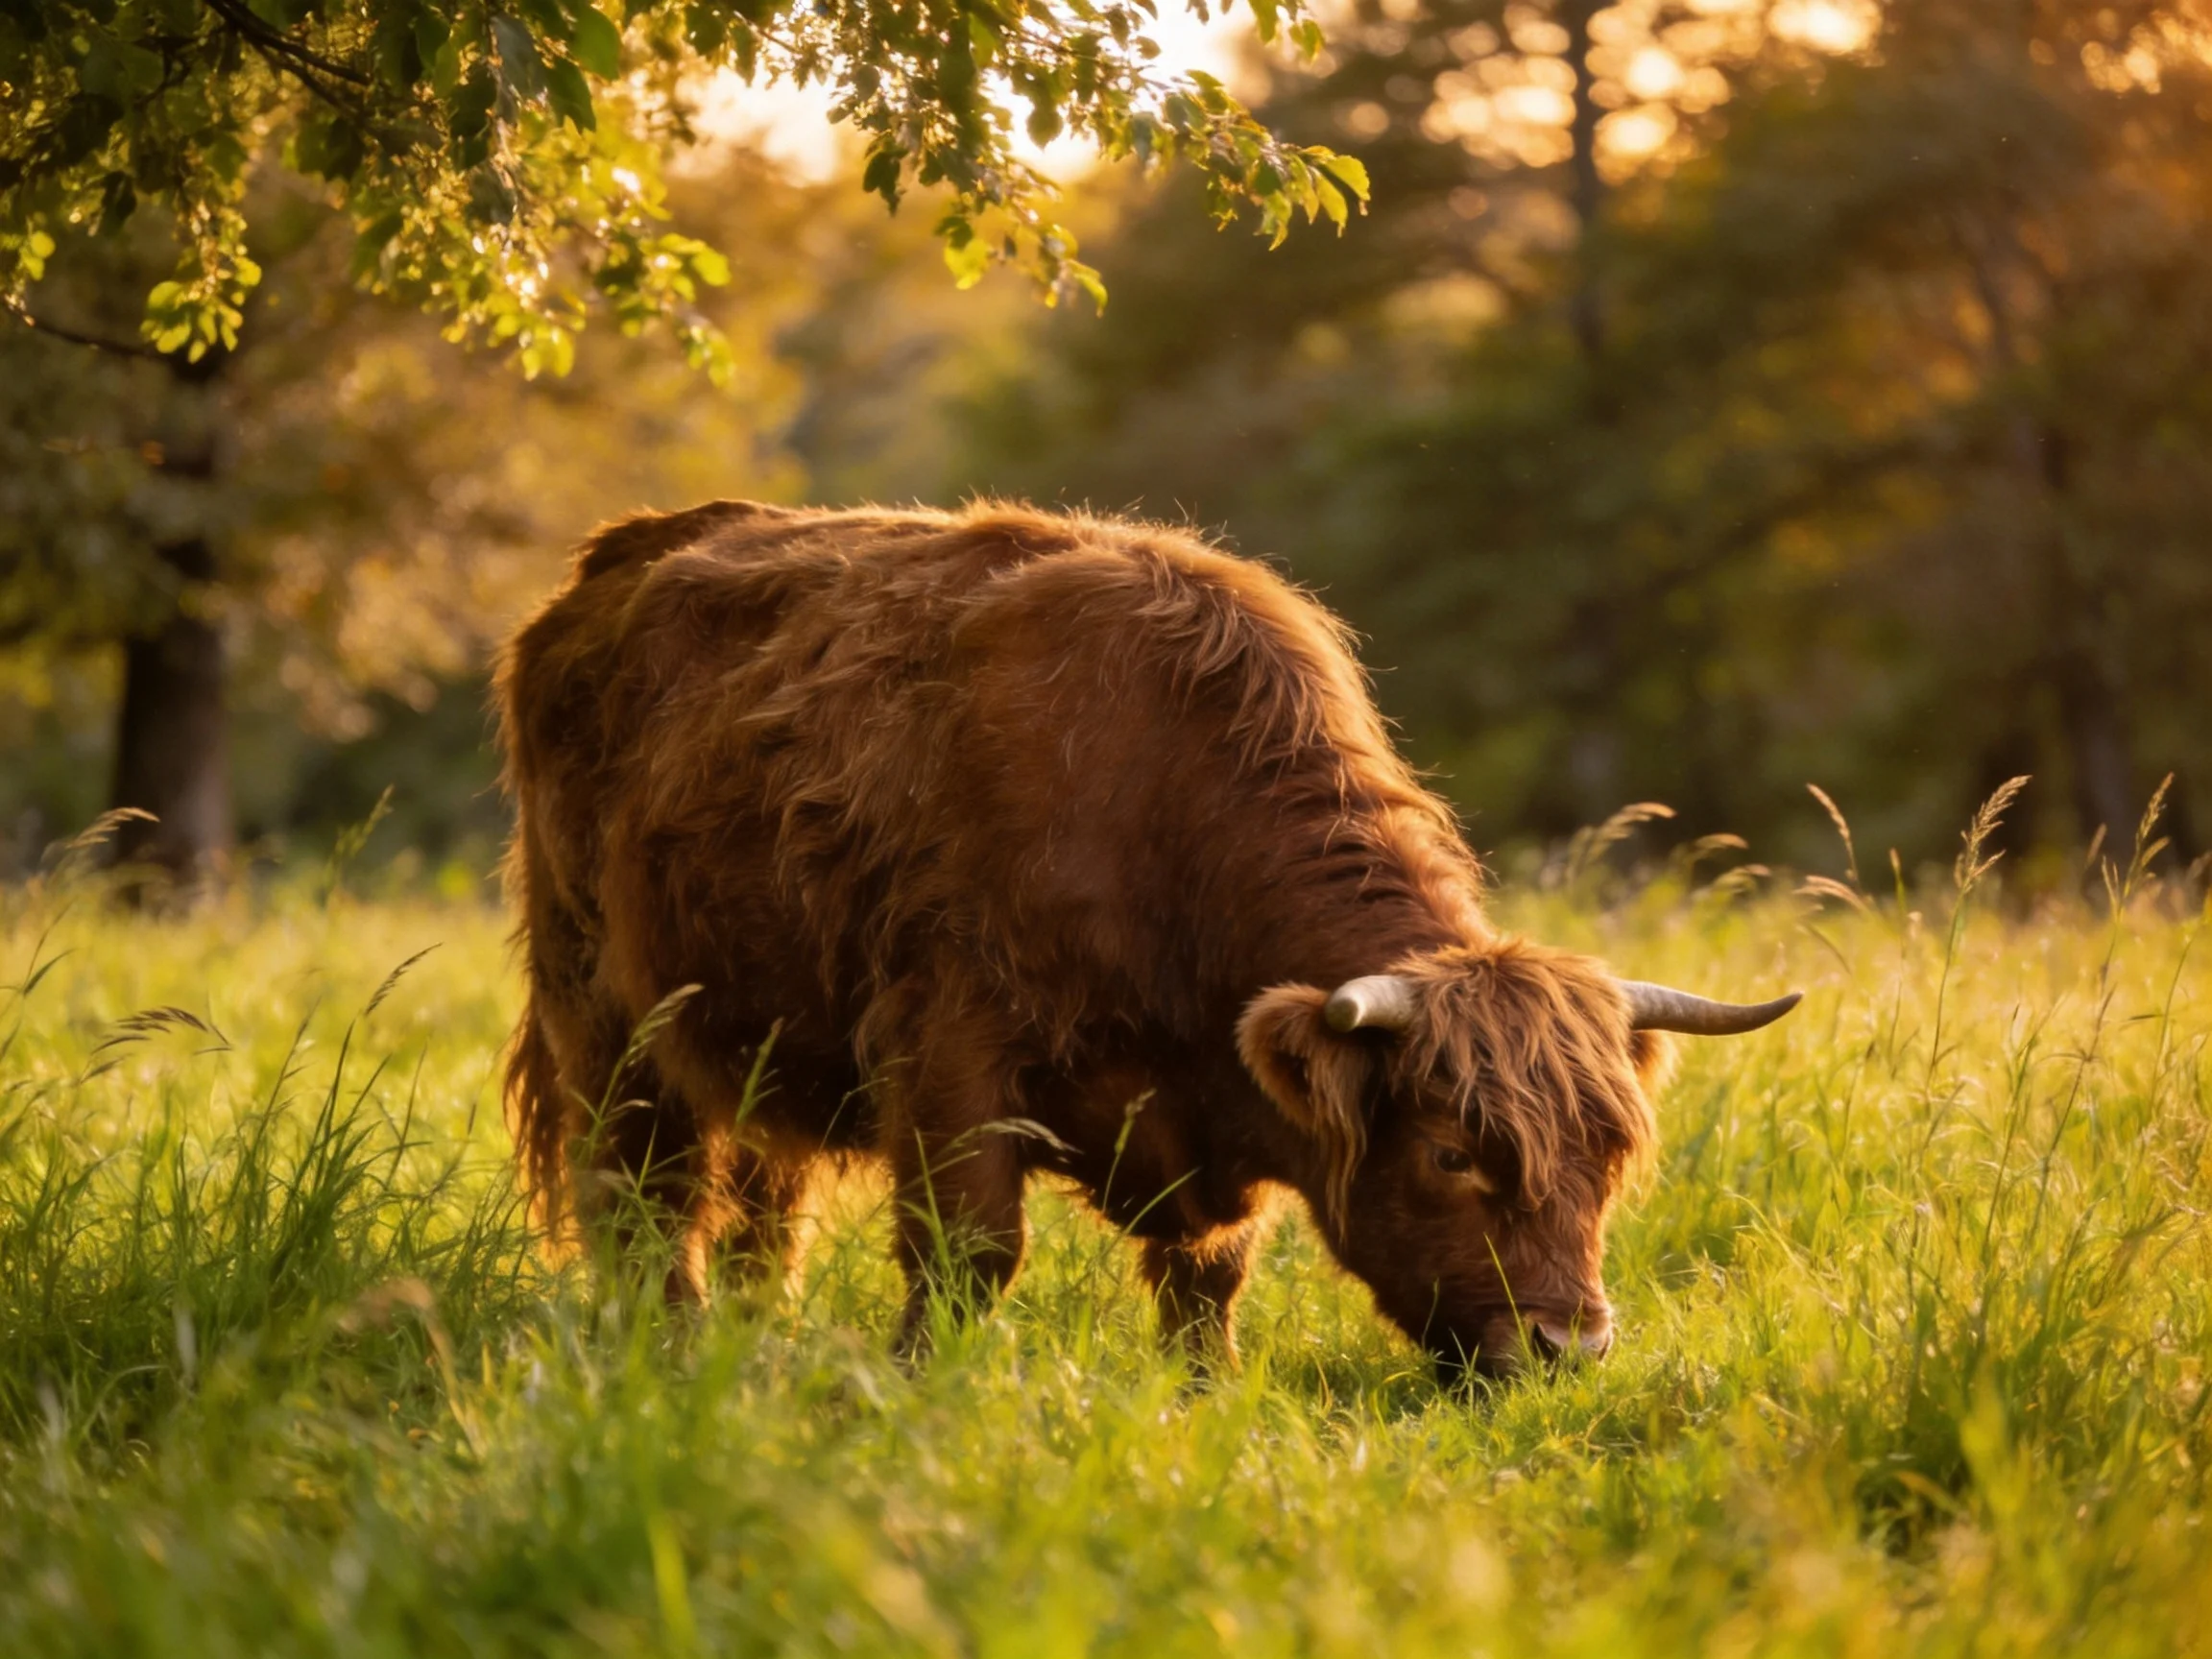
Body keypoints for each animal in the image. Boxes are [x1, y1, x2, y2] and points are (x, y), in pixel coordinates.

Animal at [496, 500, 1799, 1378]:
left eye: (1610, 1155)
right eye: (1449, 1154)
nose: (1567, 1349)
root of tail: (615, 558)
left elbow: (1208, 1275)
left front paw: (1205, 1393)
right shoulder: (951, 1050)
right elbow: (971, 1250)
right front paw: (922, 1392)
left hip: (763, 1038)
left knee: (765, 1203)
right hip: (603, 1016)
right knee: (644, 1196)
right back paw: (664, 1350)